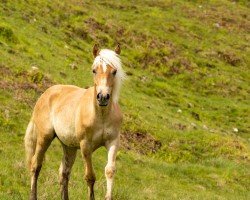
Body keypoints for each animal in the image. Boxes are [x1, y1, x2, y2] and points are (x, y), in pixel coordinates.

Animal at [24, 44, 125, 200]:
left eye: (114, 71)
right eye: (94, 70)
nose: (103, 97)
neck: (101, 115)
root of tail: (45, 94)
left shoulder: (113, 142)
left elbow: (109, 170)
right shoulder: (85, 145)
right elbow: (90, 177)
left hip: (68, 146)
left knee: (64, 174)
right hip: (44, 137)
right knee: (36, 165)